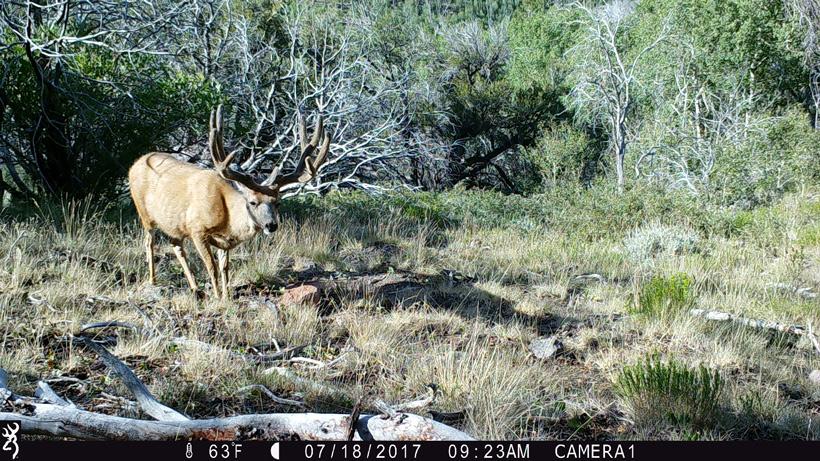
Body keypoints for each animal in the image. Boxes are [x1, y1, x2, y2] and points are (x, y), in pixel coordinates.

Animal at [128, 106, 330, 299]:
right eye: (252, 202)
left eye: (277, 202)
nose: (271, 225)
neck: (227, 217)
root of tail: (136, 163)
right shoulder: (197, 229)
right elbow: (212, 267)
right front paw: (218, 297)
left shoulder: (224, 241)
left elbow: (225, 267)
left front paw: (227, 296)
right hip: (144, 213)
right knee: (149, 242)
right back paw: (153, 281)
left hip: (174, 224)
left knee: (175, 245)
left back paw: (194, 287)